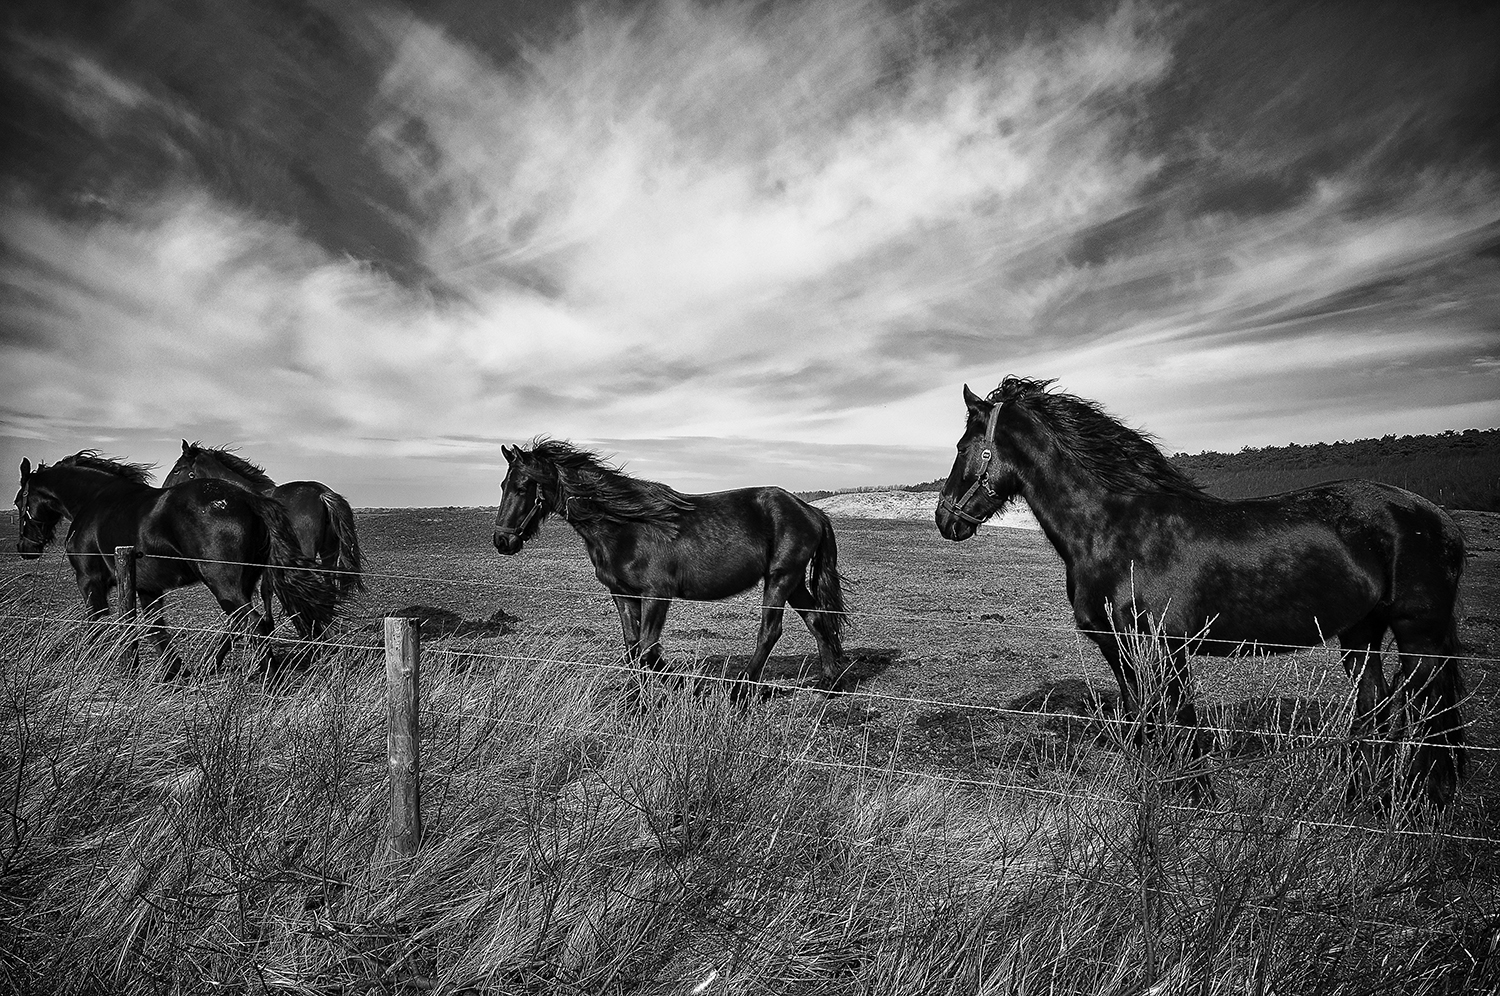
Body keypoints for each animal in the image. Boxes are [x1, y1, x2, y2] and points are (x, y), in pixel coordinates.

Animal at [15, 451, 339, 678]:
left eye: (20, 502)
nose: (24, 548)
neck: (93, 501)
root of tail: (247, 499)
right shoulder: (147, 587)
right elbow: (154, 628)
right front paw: (173, 670)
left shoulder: (89, 581)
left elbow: (98, 625)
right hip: (244, 583)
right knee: (248, 623)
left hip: (224, 584)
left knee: (255, 623)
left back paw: (268, 679)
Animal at [163, 441, 363, 630]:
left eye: (177, 469)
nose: (164, 490)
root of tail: (322, 494)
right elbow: (266, 589)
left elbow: (264, 591)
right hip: (329, 553)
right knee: (329, 591)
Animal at [491, 440, 848, 699]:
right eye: (503, 485)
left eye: (523, 487)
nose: (502, 540)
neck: (626, 527)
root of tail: (811, 511)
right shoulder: (622, 595)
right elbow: (634, 650)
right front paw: (636, 698)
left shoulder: (656, 595)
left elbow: (649, 652)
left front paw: (682, 687)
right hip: (793, 581)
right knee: (817, 620)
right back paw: (829, 684)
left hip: (780, 578)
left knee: (769, 632)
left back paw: (740, 690)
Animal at [935, 377, 1468, 808]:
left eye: (963, 445)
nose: (944, 519)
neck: (1113, 529)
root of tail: (1437, 516)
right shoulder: (1120, 649)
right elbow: (1143, 723)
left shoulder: (1165, 647)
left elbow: (1181, 723)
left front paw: (1195, 801)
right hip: (1361, 633)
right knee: (1375, 708)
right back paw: (1360, 800)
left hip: (1420, 637)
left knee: (1430, 715)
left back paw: (1425, 805)